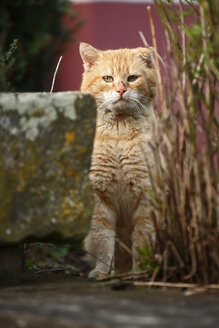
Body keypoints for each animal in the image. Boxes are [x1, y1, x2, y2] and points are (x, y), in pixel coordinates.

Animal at [80, 42, 157, 278]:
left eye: (132, 78)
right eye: (107, 78)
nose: (121, 90)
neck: (119, 134)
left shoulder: (145, 194)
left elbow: (143, 238)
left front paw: (141, 271)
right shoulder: (99, 196)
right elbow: (103, 239)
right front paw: (103, 272)